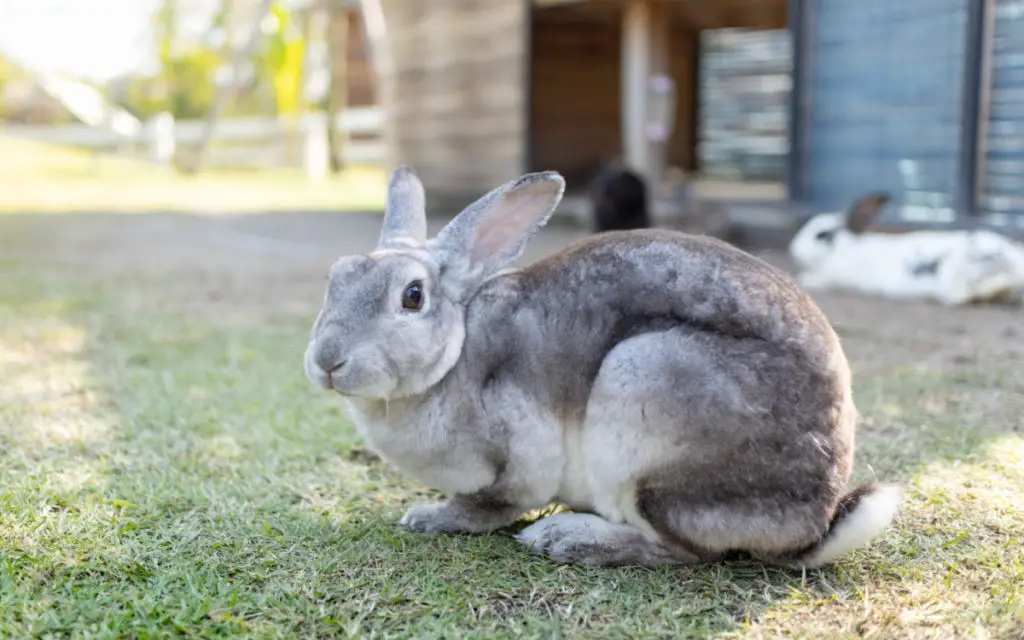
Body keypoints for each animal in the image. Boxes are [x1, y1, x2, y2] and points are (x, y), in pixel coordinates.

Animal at [303, 165, 897, 569]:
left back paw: (567, 538)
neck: (453, 356)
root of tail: (813, 521)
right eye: (335, 278)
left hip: (642, 387)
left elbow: (496, 502)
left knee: (681, 550)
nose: (327, 361)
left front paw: (432, 518)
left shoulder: (522, 454)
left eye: (412, 296)